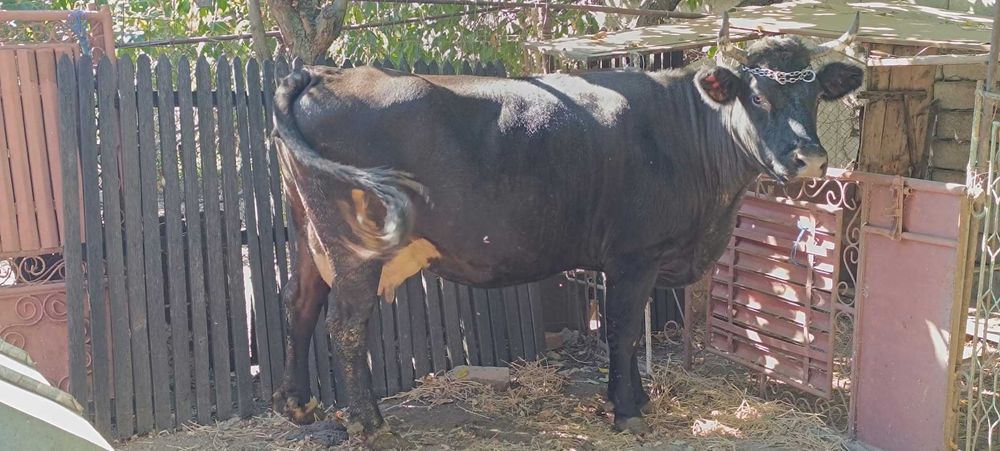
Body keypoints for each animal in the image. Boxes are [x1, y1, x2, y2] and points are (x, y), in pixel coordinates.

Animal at [269, 12, 864, 448]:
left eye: (816, 96)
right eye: (758, 96)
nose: (810, 158)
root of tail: (325, 72)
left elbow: (630, 331)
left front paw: (636, 398)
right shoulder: (634, 254)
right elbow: (622, 330)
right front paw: (627, 412)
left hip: (307, 230)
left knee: (298, 300)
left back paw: (297, 405)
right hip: (355, 247)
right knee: (346, 324)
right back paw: (368, 425)